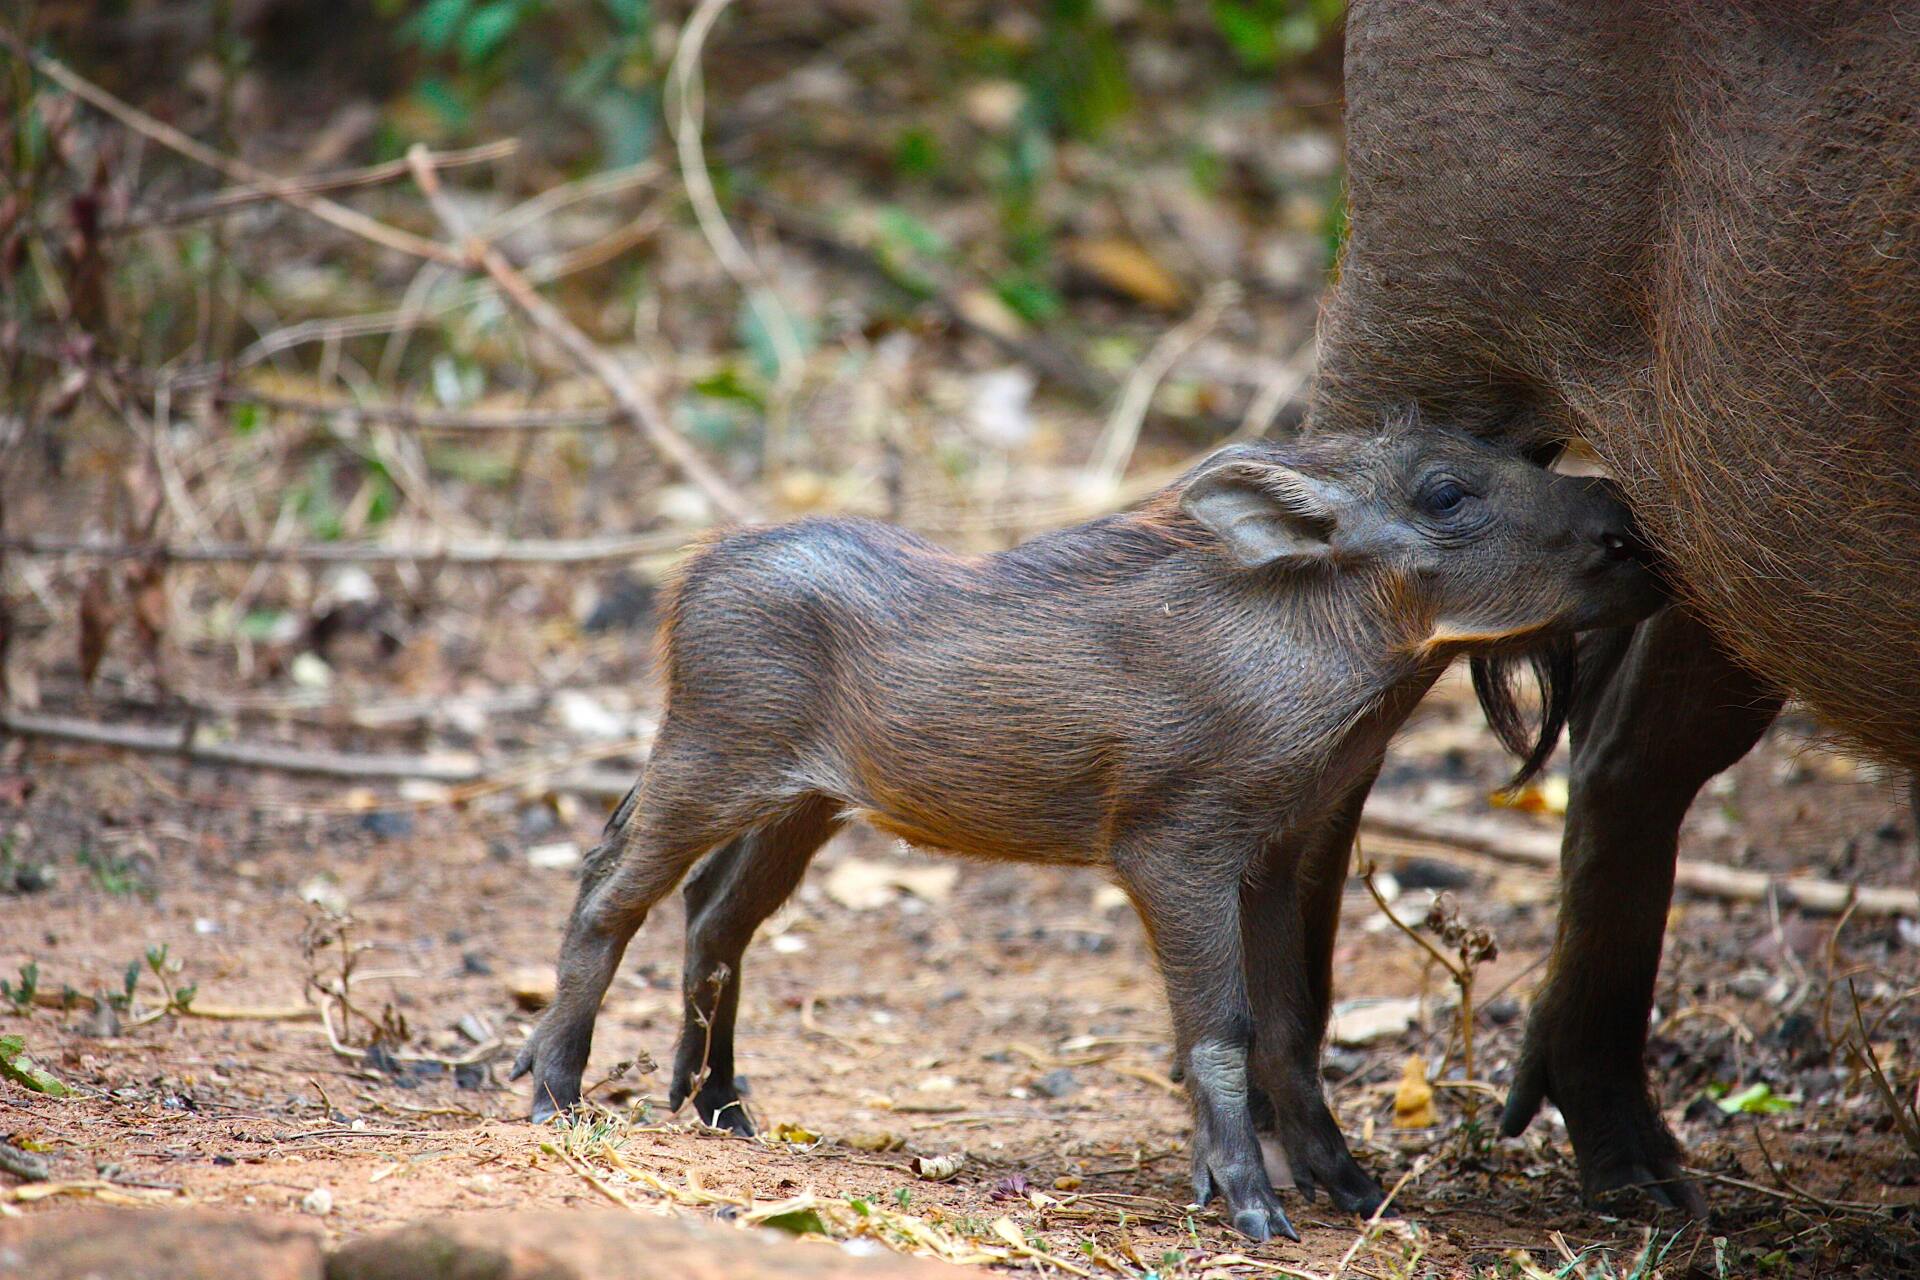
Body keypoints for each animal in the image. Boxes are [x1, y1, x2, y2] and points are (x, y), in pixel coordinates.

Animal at [512, 413, 1662, 1242]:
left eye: (1524, 453)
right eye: (1446, 492)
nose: (1636, 527)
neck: (1320, 650)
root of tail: (697, 569)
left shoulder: (1273, 854)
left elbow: (1293, 1021)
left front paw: (1353, 1189)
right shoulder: (1174, 851)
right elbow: (1222, 1028)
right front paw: (1253, 1210)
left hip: (803, 805)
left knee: (717, 919)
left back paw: (722, 1112)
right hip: (712, 756)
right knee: (609, 887)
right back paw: (553, 1095)